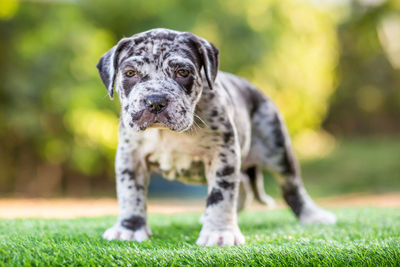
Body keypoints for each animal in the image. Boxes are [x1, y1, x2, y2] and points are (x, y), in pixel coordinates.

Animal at [96, 28, 334, 247]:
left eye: (182, 72)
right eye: (130, 73)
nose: (155, 101)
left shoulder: (222, 154)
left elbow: (221, 195)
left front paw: (220, 232)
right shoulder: (130, 157)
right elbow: (130, 193)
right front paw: (129, 228)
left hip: (277, 149)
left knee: (291, 186)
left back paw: (313, 215)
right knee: (244, 185)